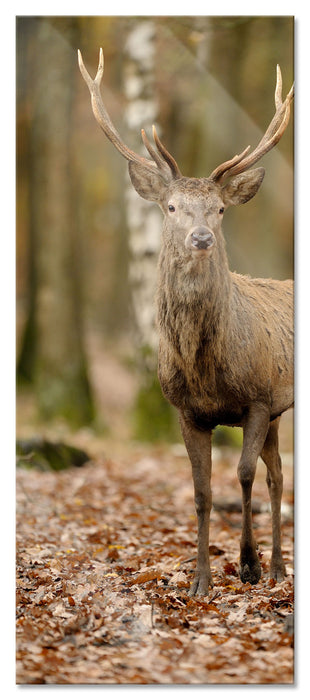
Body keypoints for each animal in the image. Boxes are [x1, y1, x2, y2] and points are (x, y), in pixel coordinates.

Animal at [78, 49, 294, 596]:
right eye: (172, 206)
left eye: (219, 209)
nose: (200, 237)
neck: (206, 369)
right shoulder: (185, 410)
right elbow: (200, 490)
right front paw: (200, 581)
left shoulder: (258, 398)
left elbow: (242, 475)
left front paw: (247, 565)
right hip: (277, 414)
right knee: (280, 474)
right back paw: (278, 566)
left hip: (278, 404)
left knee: (273, 477)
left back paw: (274, 567)